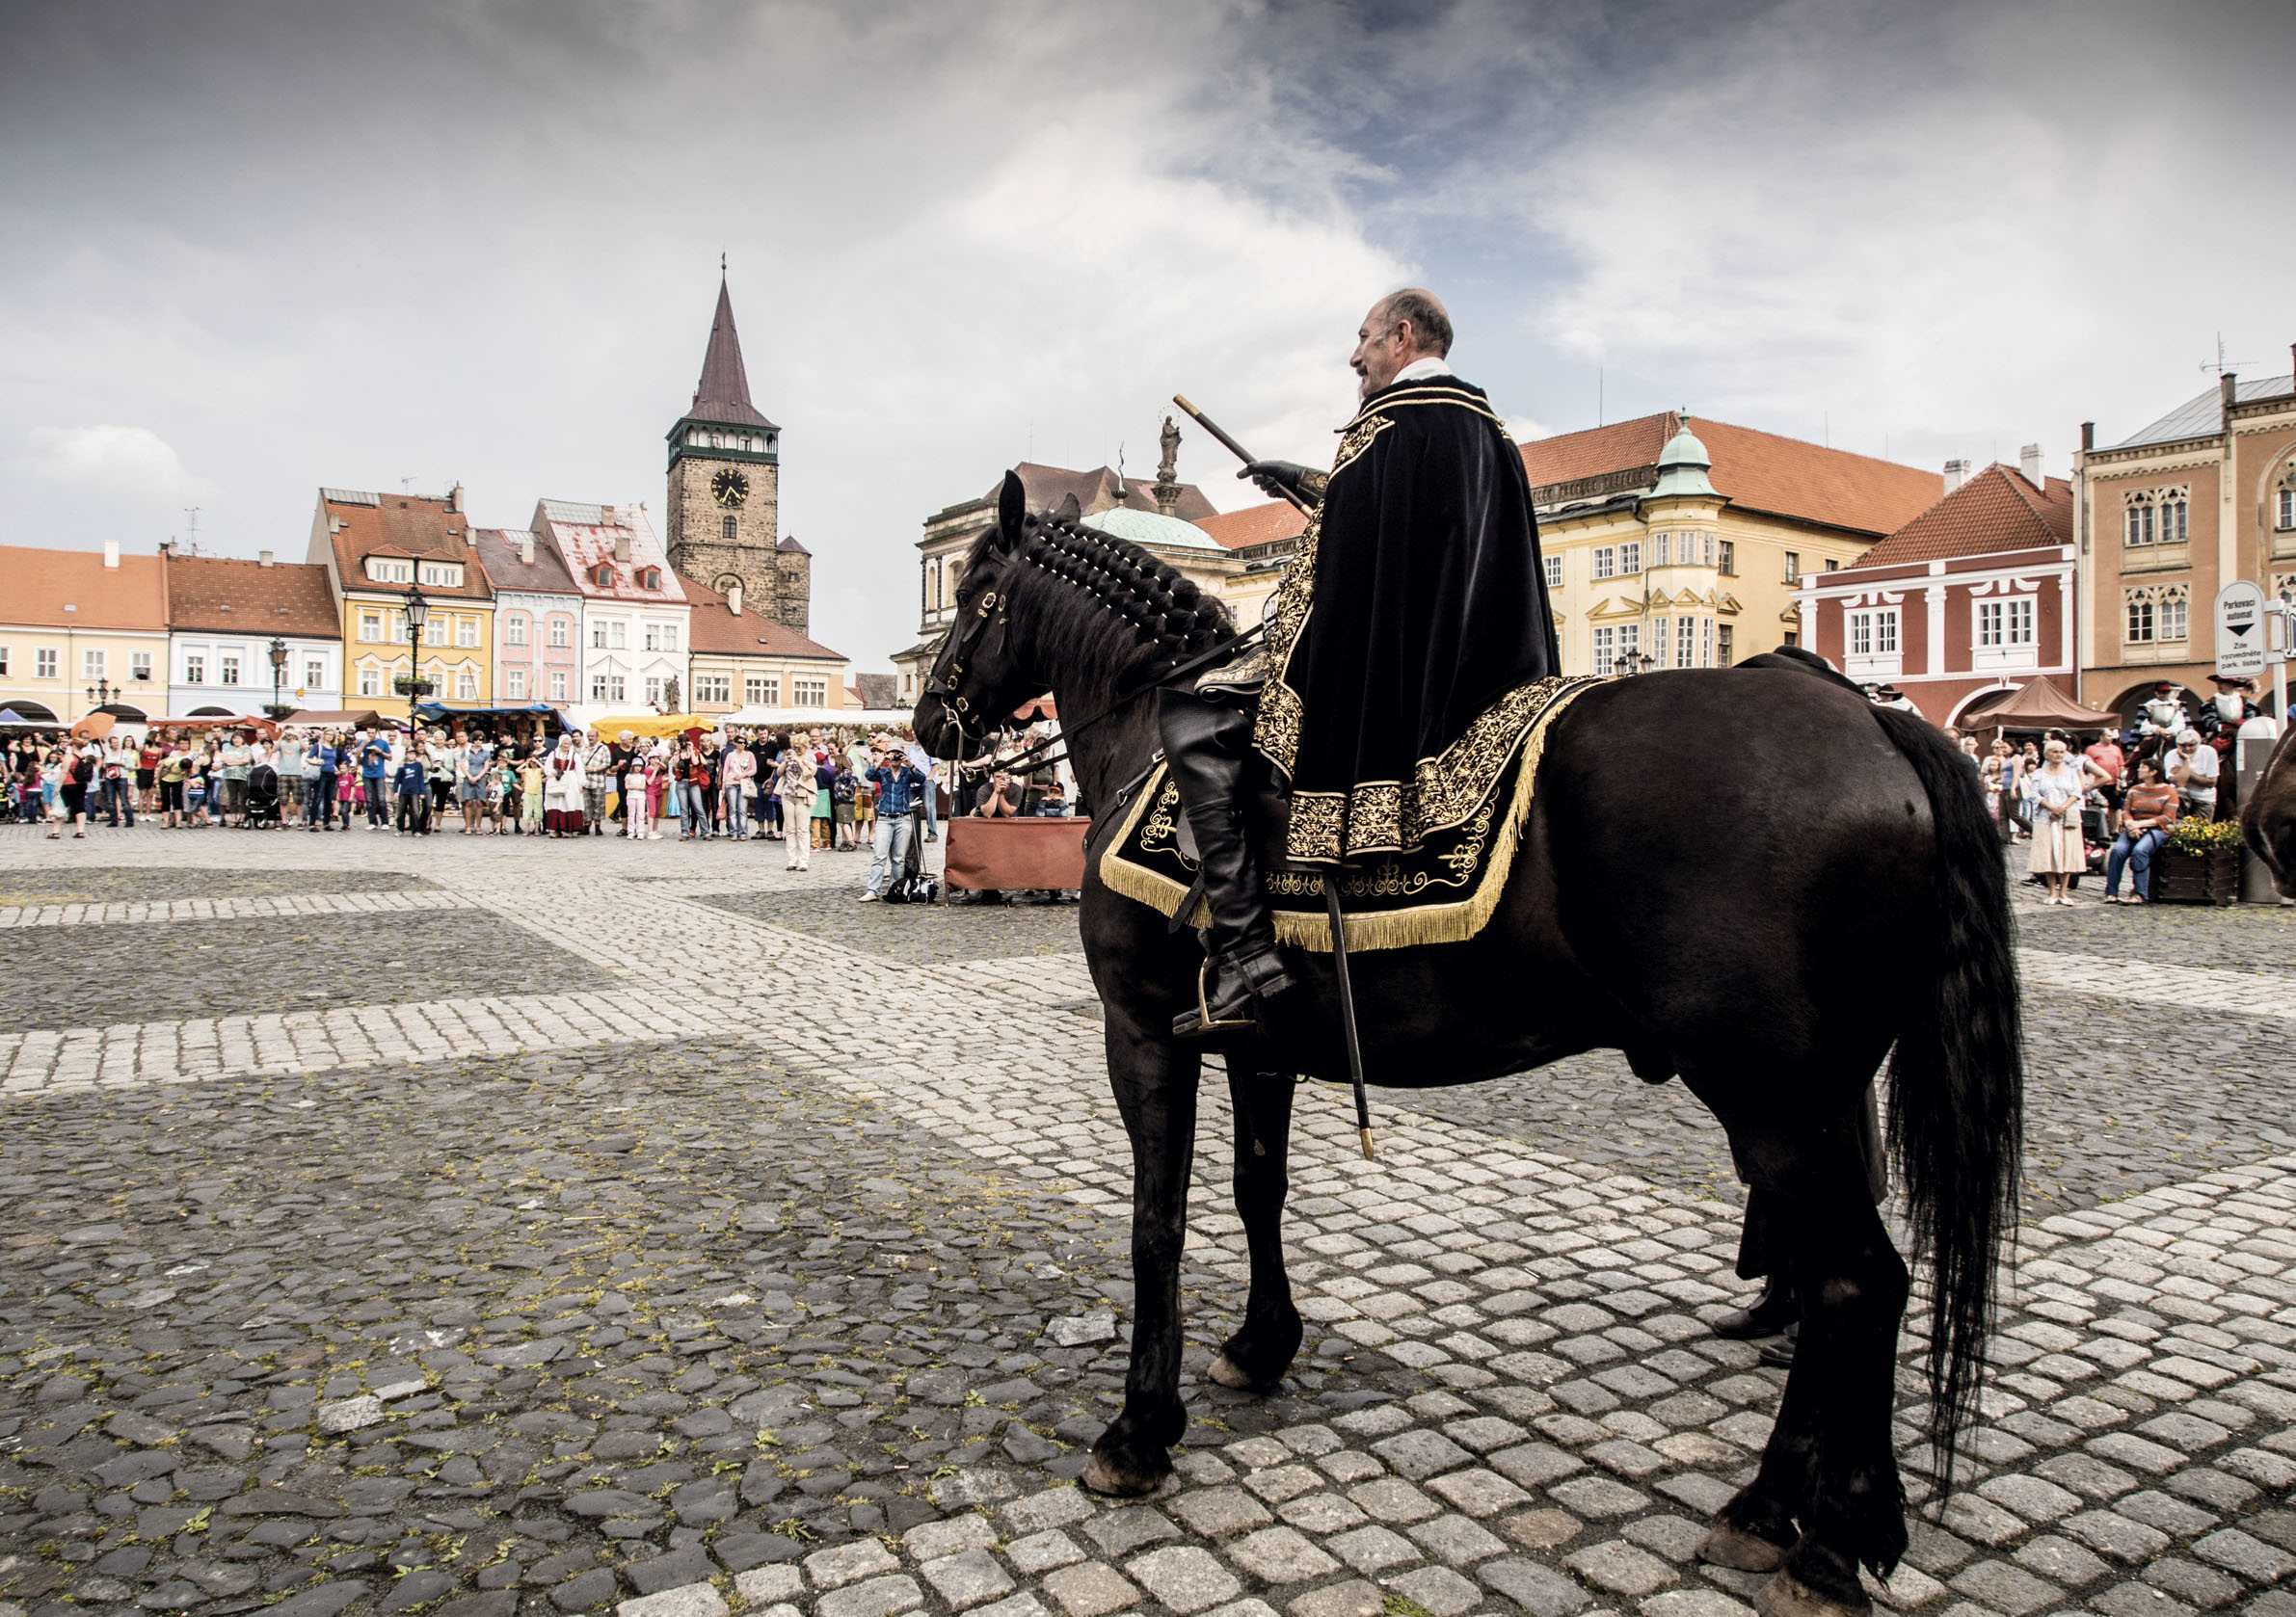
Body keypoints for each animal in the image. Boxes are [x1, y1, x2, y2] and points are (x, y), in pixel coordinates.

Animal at [914, 473, 2029, 1617]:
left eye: (974, 593)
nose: (926, 718)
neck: (1149, 731)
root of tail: (1876, 724)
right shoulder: (1258, 1043)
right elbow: (1257, 1192)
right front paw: (1261, 1347)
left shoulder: (1142, 1033)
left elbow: (1158, 1224)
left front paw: (1140, 1431)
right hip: (1815, 1099)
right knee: (1843, 1279)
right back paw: (1784, 1511)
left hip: (1772, 1097)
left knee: (1858, 1284)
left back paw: (1827, 1537)